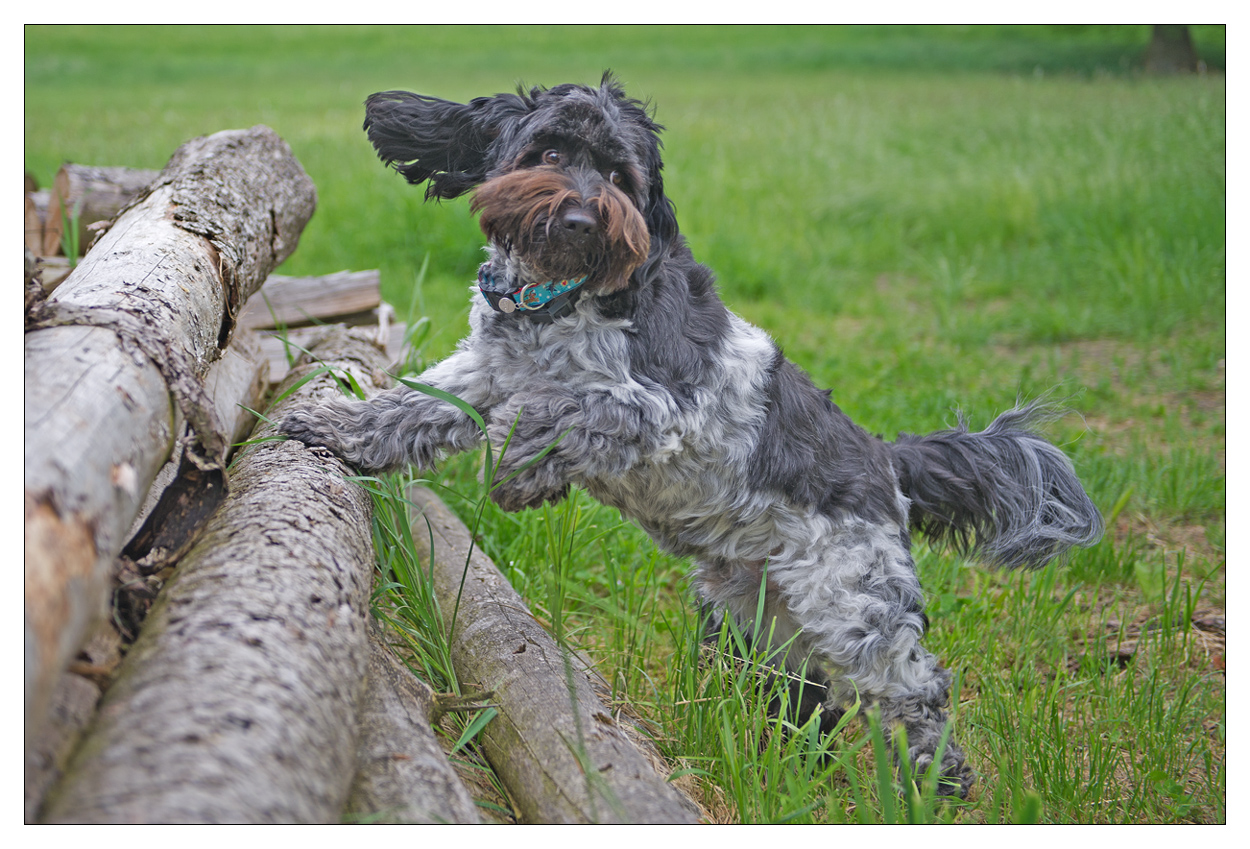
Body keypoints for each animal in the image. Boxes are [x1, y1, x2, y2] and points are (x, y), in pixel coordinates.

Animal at [278, 73, 1100, 795]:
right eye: (548, 150)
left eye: (620, 173)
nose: (582, 216)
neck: (559, 298)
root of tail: (886, 462)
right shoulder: (482, 372)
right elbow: (411, 409)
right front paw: (333, 427)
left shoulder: (661, 406)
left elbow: (561, 412)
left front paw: (519, 473)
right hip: (760, 613)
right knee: (810, 696)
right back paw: (787, 759)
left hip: (854, 602)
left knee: (913, 686)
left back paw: (937, 781)